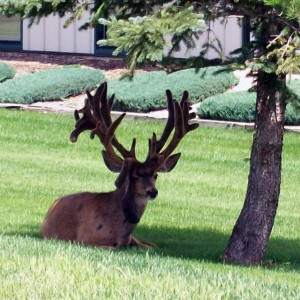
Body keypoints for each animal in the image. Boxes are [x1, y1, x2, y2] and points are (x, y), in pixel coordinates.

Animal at [41, 82, 198, 248]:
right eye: (134, 176)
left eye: (155, 175)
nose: (152, 191)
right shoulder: (85, 239)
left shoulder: (133, 240)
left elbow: (150, 246)